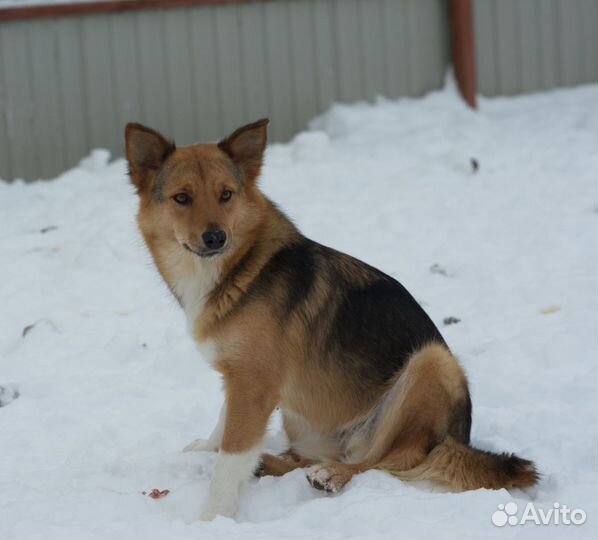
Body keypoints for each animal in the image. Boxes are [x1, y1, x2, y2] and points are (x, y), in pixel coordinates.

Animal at [125, 117, 540, 520]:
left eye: (226, 195)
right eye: (182, 198)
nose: (216, 238)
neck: (239, 269)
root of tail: (458, 439)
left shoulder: (255, 382)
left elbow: (231, 458)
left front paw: (214, 518)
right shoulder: (242, 377)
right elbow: (225, 425)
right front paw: (207, 449)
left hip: (432, 364)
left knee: (387, 463)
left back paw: (333, 474)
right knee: (313, 458)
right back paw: (271, 464)